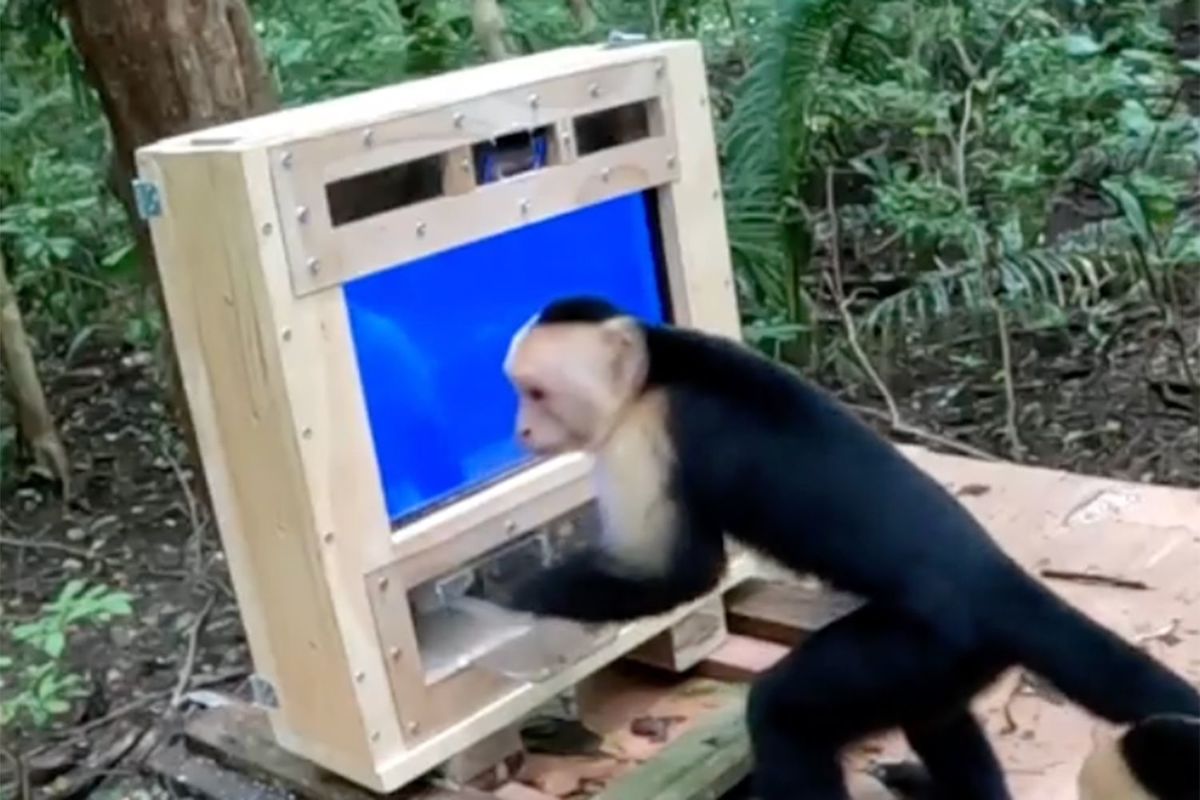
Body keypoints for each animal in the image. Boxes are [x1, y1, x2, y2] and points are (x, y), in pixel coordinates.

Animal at [499, 295, 1200, 800]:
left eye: (535, 393)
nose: (521, 431)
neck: (659, 364)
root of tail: (994, 575)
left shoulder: (640, 437)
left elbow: (679, 574)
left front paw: (508, 602)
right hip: (955, 660)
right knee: (934, 719)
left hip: (923, 642)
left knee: (784, 714)